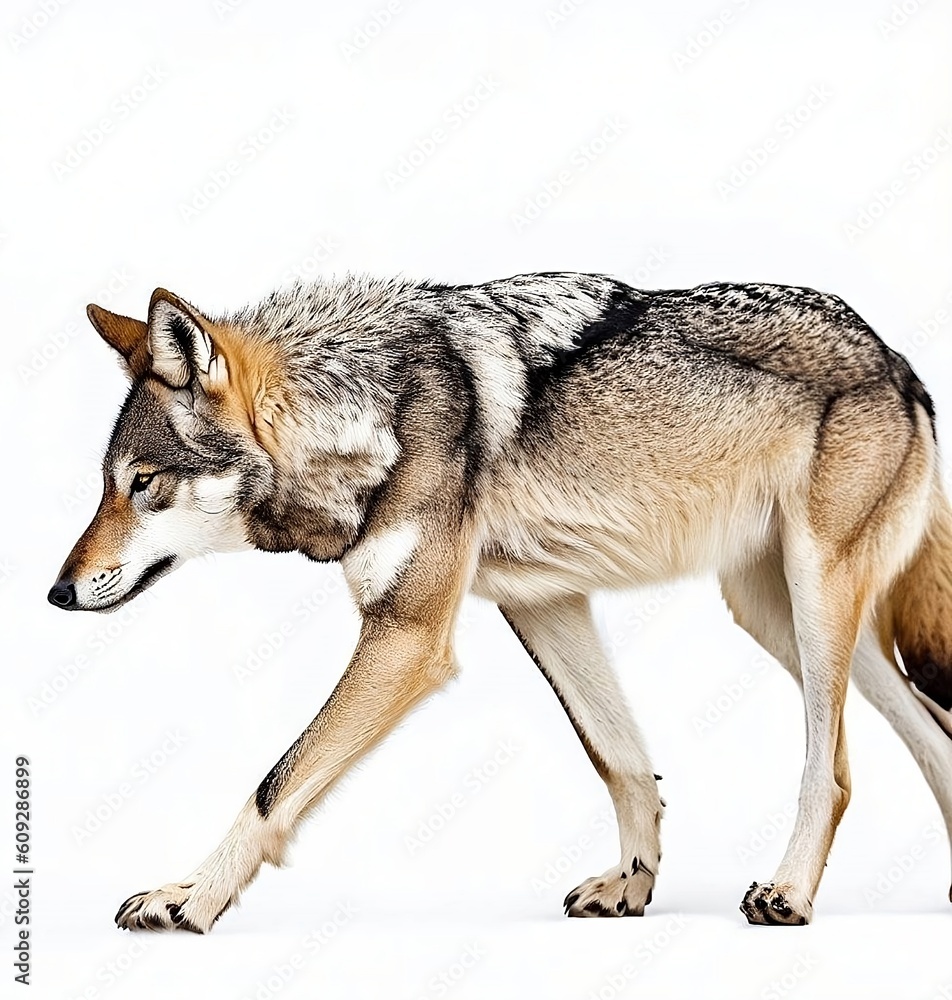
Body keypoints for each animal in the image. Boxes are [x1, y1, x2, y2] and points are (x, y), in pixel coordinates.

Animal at [49, 273, 952, 931]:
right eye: (105, 486)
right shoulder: (546, 603)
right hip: (781, 617)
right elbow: (621, 759)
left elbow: (276, 780)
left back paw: (788, 893)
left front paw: (191, 898)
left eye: (142, 484)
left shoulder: (407, 637)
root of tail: (896, 356)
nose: (56, 593)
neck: (368, 412)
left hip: (813, 602)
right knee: (931, 734)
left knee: (831, 770)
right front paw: (632, 887)